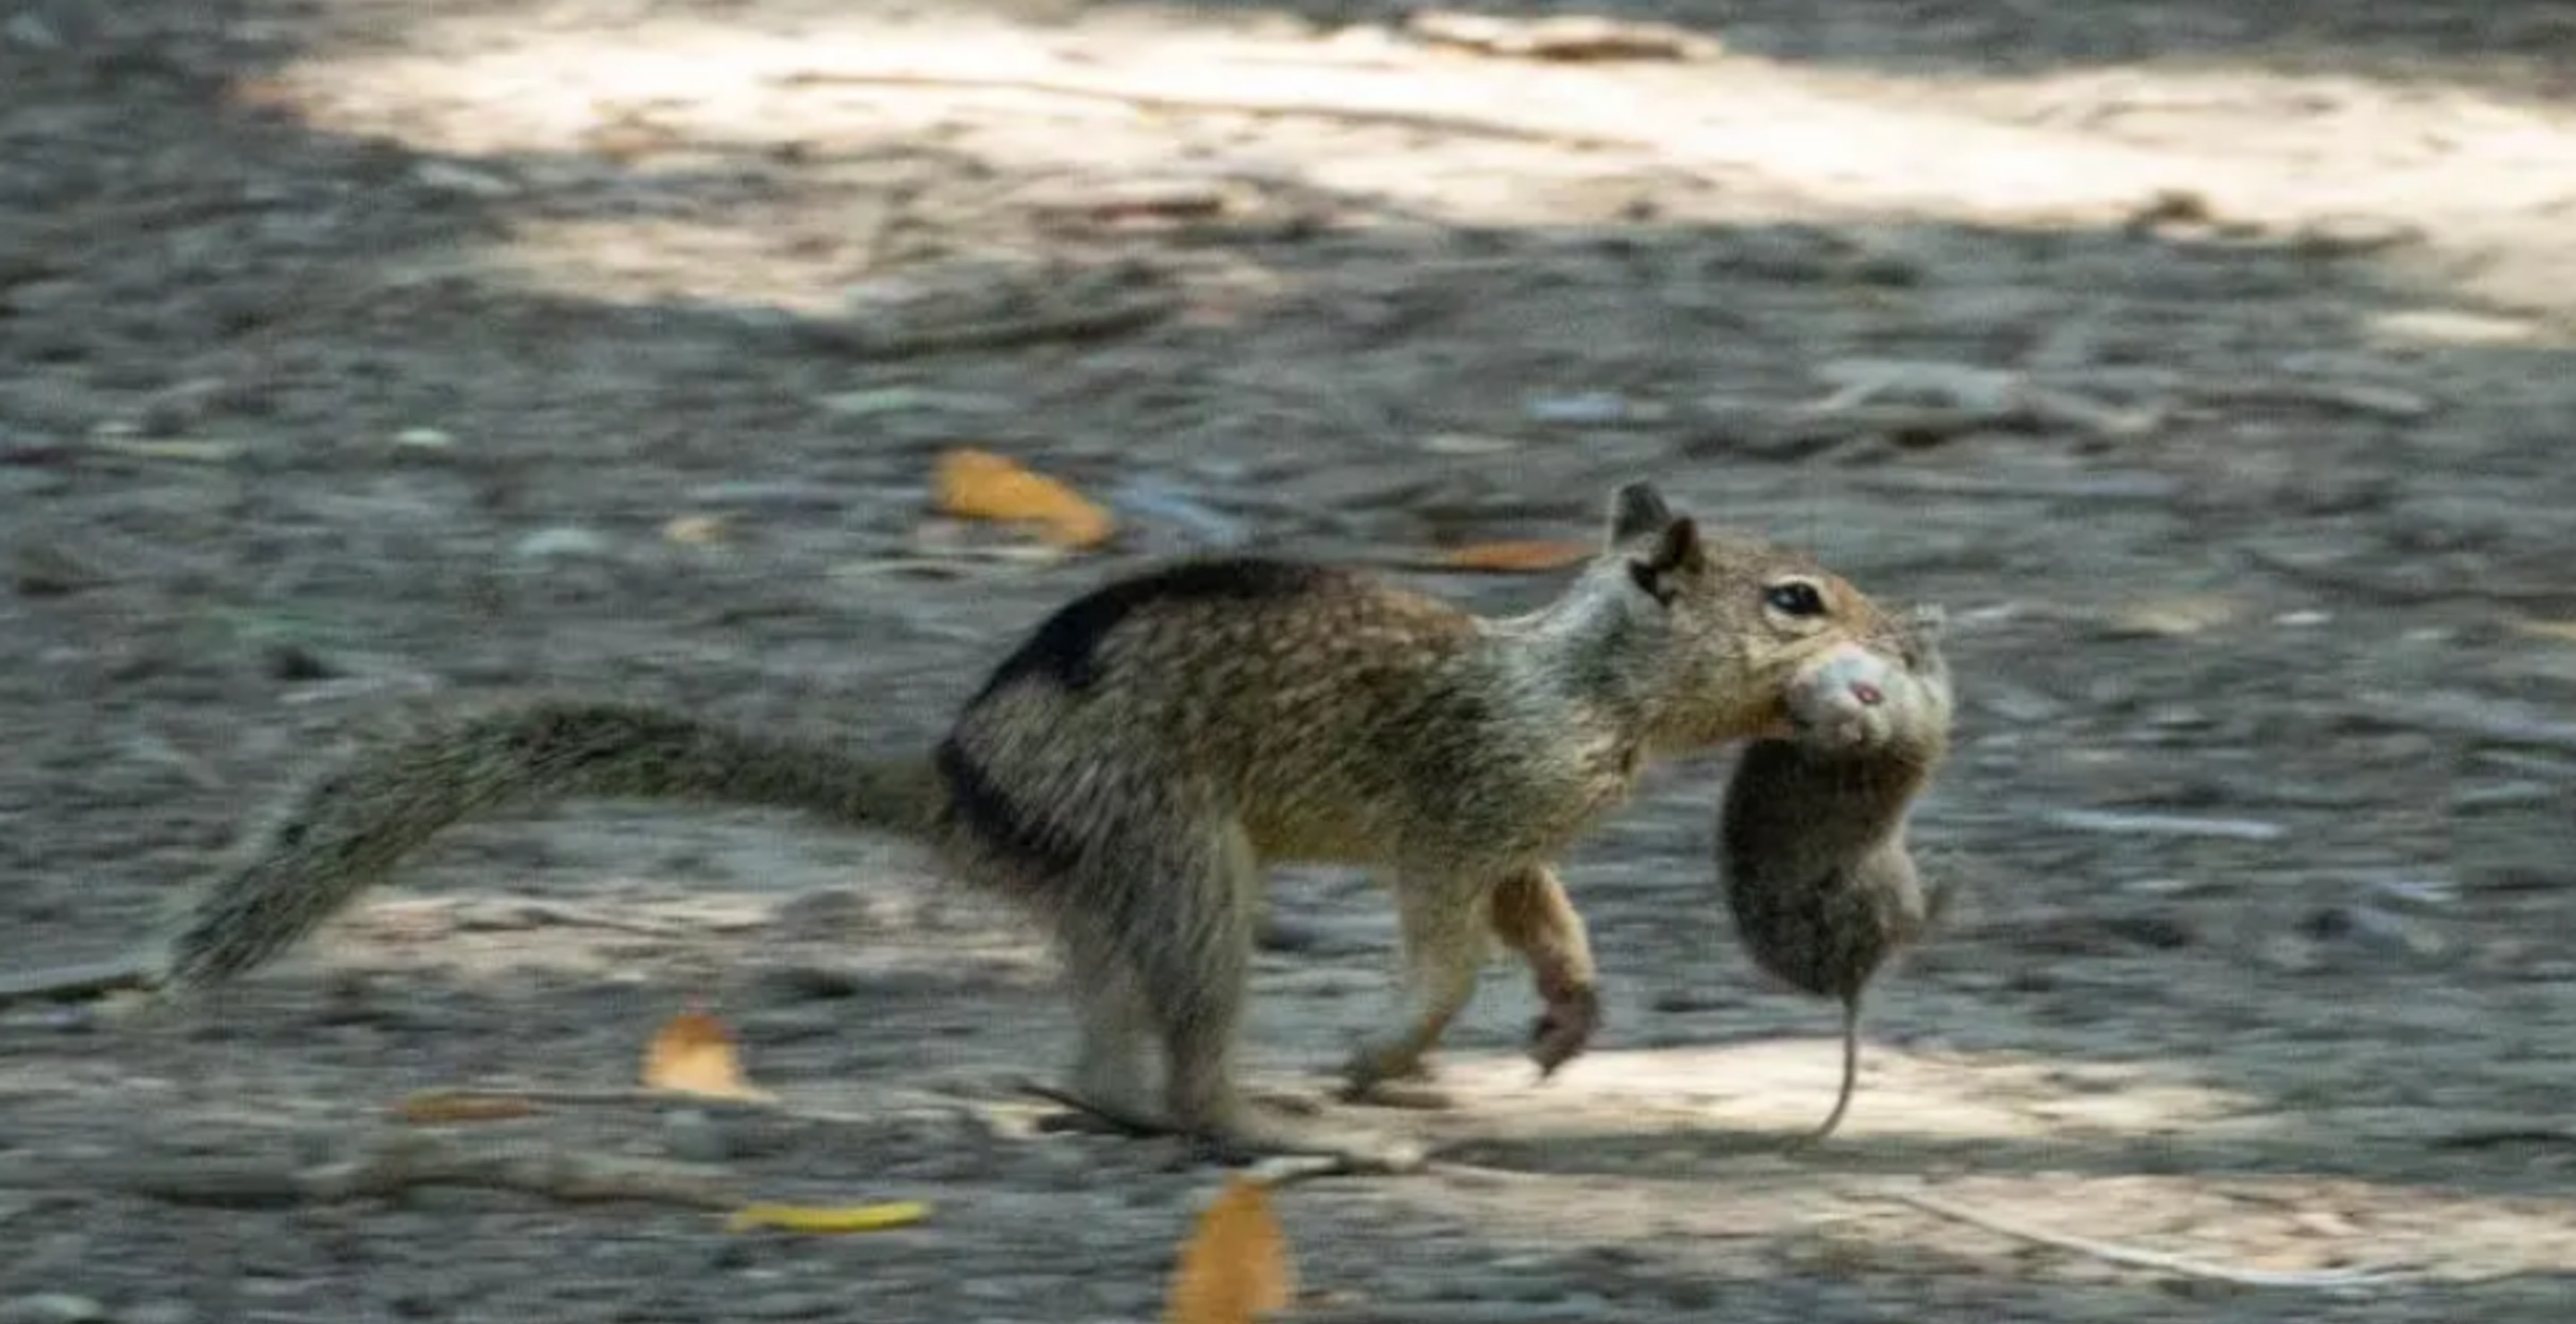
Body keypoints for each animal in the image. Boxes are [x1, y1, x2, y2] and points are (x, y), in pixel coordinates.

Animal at [4, 479, 1895, 1169]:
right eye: (1795, 598)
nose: (1897, 633)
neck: (1584, 684)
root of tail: (957, 785)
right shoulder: (1462, 814)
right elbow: (1444, 941)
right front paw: (1391, 1051)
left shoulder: (1521, 837)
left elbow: (1539, 919)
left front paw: (1567, 1017)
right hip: (1181, 863)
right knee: (1188, 1064)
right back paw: (1280, 1123)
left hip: (1122, 893)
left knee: (1101, 1051)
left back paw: (1109, 1101)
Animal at [1720, 602, 1957, 1138]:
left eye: (1866, 693)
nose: (1858, 729)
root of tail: (1851, 983)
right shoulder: (1926, 709)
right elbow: (1935, 680)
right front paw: (1922, 628)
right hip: (1892, 887)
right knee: (1914, 928)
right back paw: (1949, 880)